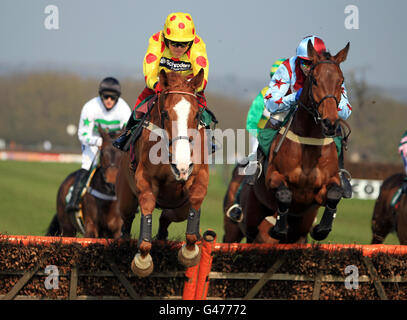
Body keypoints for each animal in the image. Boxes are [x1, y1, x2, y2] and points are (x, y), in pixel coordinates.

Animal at [115, 68, 209, 278]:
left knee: (167, 217)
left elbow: (196, 202)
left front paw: (189, 252)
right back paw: (124, 238)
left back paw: (163, 236)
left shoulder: (198, 176)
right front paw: (143, 260)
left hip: (179, 208)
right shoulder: (145, 179)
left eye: (196, 114)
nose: (181, 166)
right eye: (165, 113)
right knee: (127, 220)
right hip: (126, 198)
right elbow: (147, 206)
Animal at [223, 41, 350, 244]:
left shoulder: (323, 188)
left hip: (293, 232)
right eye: (315, 80)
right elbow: (284, 194)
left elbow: (334, 194)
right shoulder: (274, 177)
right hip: (237, 227)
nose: (330, 123)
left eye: (341, 81)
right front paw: (279, 229)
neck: (308, 146)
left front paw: (321, 229)